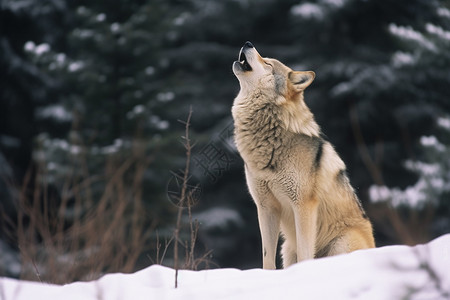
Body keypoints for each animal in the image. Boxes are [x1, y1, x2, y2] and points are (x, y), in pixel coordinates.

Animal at [230, 41, 374, 268]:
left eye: (268, 64)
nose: (248, 43)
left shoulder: (304, 205)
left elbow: (306, 252)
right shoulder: (265, 208)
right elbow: (266, 257)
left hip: (340, 243)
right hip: (287, 248)